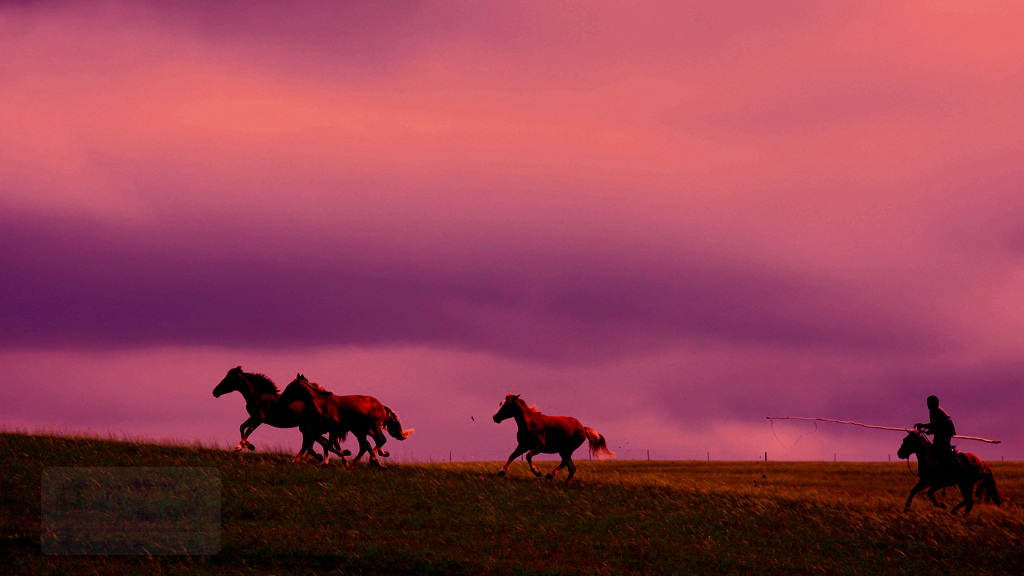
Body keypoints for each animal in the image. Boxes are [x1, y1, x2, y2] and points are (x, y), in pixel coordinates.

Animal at [210, 364, 348, 459]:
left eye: (228, 379)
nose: (215, 392)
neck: (257, 396)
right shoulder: (253, 416)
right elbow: (242, 427)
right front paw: (249, 446)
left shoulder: (260, 418)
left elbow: (248, 429)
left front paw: (239, 446)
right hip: (308, 427)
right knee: (319, 441)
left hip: (310, 427)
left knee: (318, 442)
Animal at [278, 373, 413, 467]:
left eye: (290, 387)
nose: (281, 400)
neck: (323, 404)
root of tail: (382, 406)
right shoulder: (322, 430)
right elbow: (324, 444)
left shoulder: (333, 429)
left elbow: (329, 445)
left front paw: (345, 454)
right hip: (361, 430)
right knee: (367, 444)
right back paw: (364, 463)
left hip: (372, 426)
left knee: (379, 440)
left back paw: (373, 460)